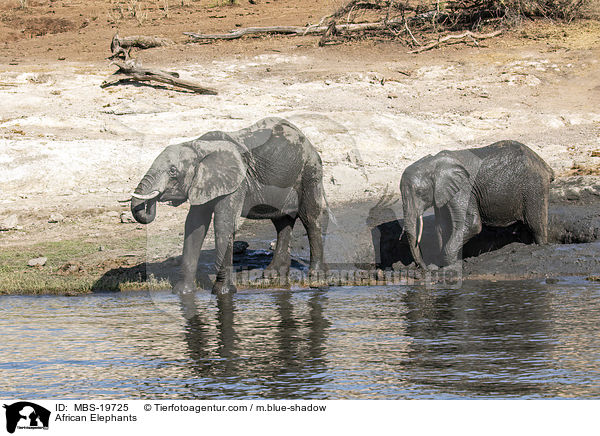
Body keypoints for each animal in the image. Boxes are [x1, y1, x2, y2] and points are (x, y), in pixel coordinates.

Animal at [132, 116, 328, 294]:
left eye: (173, 171)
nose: (153, 201)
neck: (199, 147)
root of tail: (306, 139)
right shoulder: (204, 183)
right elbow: (194, 226)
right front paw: (183, 293)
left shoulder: (236, 183)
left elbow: (223, 225)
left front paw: (223, 293)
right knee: (281, 222)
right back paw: (272, 276)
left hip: (309, 171)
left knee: (311, 218)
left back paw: (317, 279)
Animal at [400, 141, 556, 268]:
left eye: (420, 192)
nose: (423, 267)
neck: (433, 162)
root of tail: (545, 166)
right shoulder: (443, 193)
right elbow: (442, 227)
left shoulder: (464, 187)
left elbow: (472, 224)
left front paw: (450, 264)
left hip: (534, 186)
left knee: (536, 225)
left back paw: (540, 245)